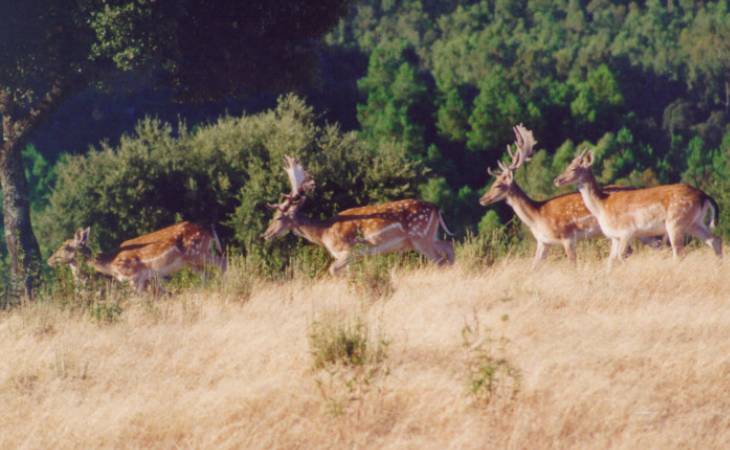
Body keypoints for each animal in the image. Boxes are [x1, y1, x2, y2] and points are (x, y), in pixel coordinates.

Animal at [47, 222, 226, 294]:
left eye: (66, 247)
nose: (49, 260)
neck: (111, 265)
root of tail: (208, 230)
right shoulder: (144, 280)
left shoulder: (133, 277)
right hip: (193, 261)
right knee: (207, 275)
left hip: (199, 253)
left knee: (223, 263)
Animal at [262, 155, 456, 274]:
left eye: (278, 217)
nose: (266, 234)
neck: (324, 233)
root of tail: (436, 208)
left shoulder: (349, 251)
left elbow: (333, 270)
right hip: (430, 235)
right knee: (449, 246)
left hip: (420, 237)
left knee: (440, 260)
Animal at [478, 123, 660, 266]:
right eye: (492, 183)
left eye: (498, 185)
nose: (482, 199)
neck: (537, 217)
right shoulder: (543, 242)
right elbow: (534, 267)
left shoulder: (567, 238)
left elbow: (573, 264)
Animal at [556, 149, 720, 266]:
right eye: (567, 166)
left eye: (574, 168)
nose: (557, 180)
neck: (602, 206)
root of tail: (704, 196)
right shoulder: (614, 237)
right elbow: (610, 261)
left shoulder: (626, 231)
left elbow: (621, 257)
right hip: (695, 222)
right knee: (715, 240)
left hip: (676, 222)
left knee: (679, 253)